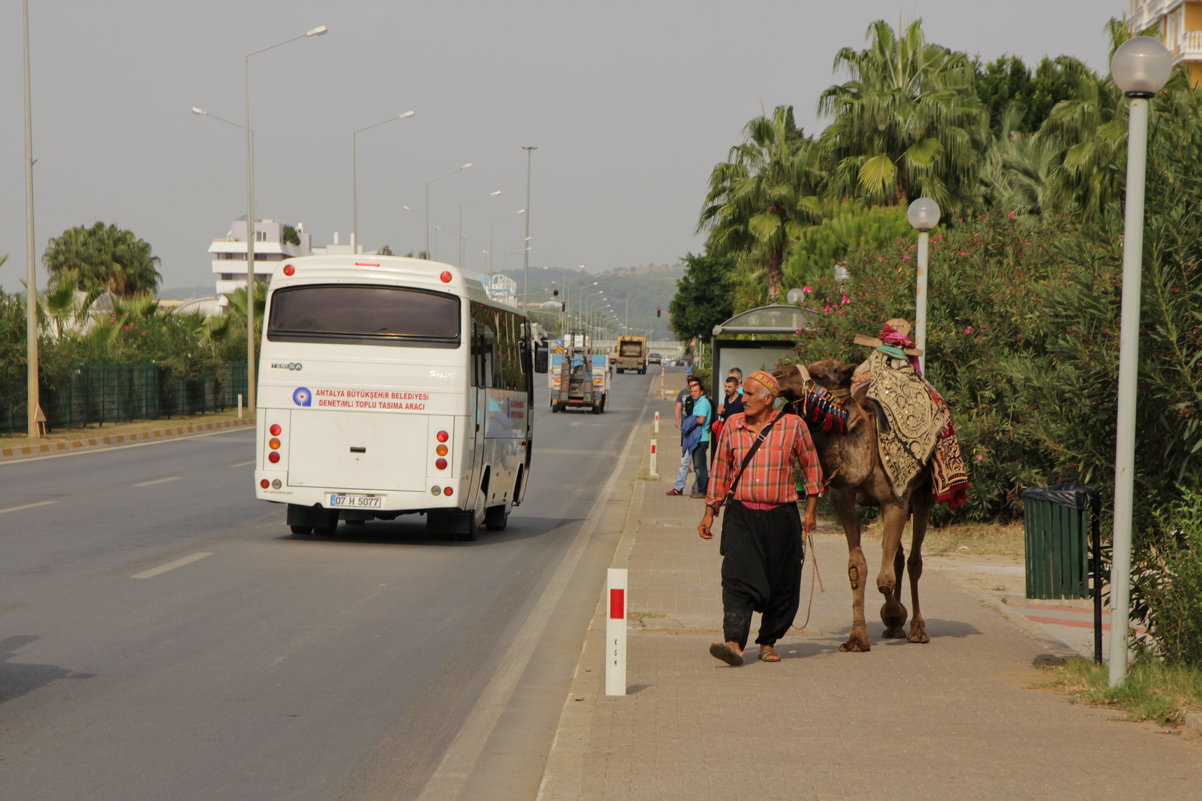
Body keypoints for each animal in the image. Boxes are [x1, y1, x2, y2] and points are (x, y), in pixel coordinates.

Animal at [774, 356, 932, 649]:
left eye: (821, 374)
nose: (777, 375)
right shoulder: (844, 499)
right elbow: (857, 568)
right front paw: (858, 637)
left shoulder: (895, 501)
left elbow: (884, 579)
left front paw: (894, 613)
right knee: (898, 557)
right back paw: (895, 629)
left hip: (923, 494)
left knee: (914, 560)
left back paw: (917, 629)